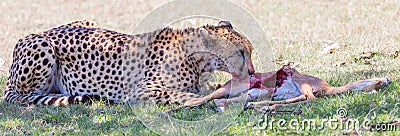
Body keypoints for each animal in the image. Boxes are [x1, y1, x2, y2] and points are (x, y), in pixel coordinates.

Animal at [2, 20, 253, 106]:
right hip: (42, 46)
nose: (252, 71)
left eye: (249, 51)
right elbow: (185, 95)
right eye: (240, 53)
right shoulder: (140, 90)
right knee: (27, 95)